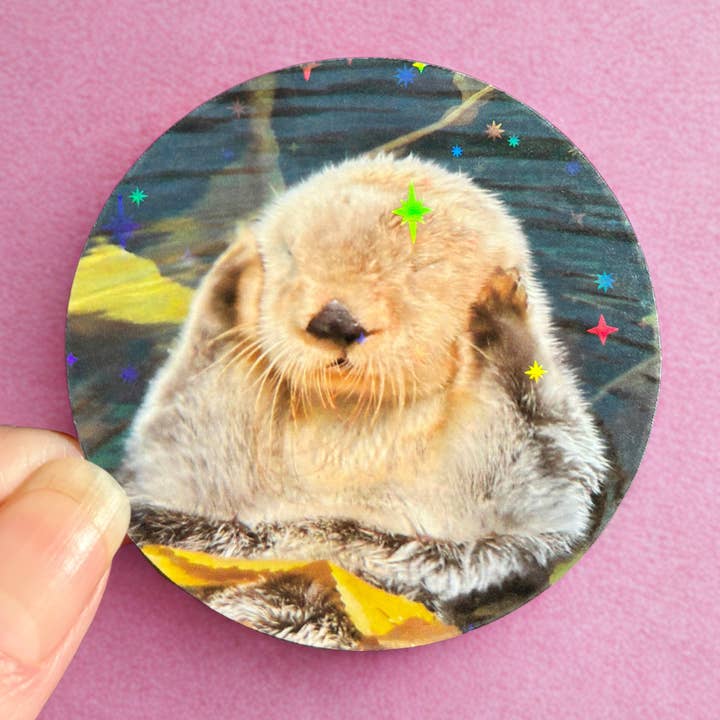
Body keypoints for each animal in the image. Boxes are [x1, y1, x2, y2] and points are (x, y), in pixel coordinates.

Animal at [118, 153, 609, 648]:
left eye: (418, 268)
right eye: (291, 257)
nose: (335, 320)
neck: (353, 429)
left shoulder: (507, 529)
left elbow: (534, 469)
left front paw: (500, 314)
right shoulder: (195, 493)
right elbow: (188, 443)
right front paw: (234, 275)